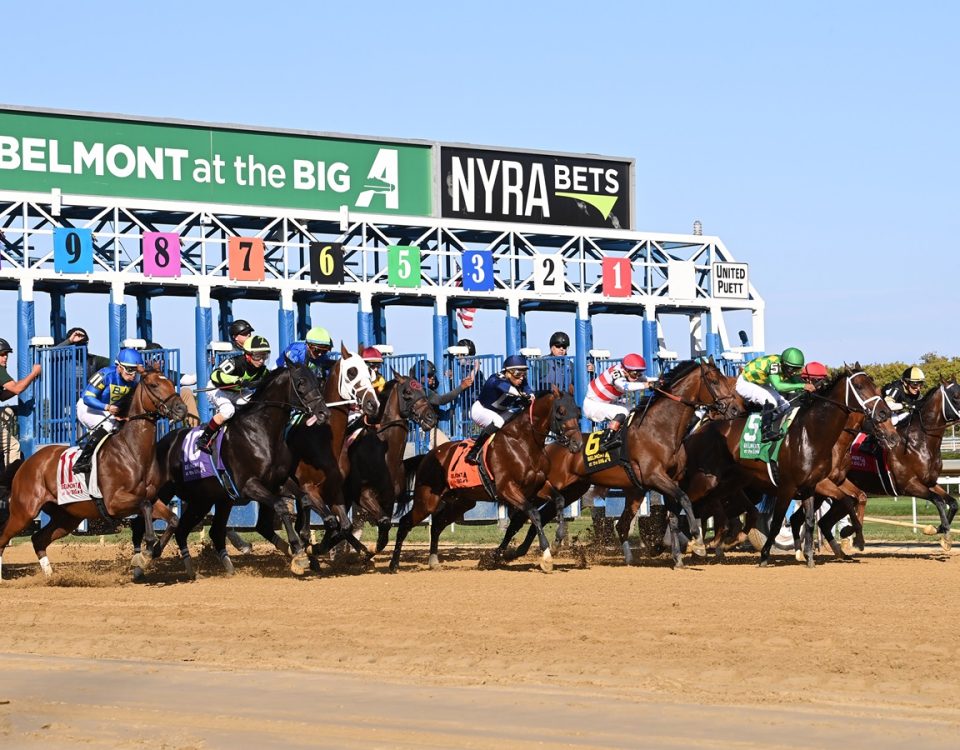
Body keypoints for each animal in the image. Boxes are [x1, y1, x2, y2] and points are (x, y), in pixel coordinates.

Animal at [0, 370, 187, 580]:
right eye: (154, 385)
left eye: (170, 382)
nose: (182, 409)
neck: (132, 451)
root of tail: (26, 463)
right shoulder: (114, 502)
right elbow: (145, 506)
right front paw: (147, 547)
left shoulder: (151, 497)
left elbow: (173, 519)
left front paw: (151, 553)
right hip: (24, 512)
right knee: (4, 538)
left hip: (66, 517)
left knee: (38, 539)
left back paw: (51, 577)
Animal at [153, 362, 326, 580]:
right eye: (300, 382)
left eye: (317, 380)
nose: (323, 413)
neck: (261, 431)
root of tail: (162, 442)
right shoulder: (248, 485)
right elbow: (280, 506)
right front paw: (298, 549)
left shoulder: (277, 481)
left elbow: (304, 498)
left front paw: (303, 538)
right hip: (165, 492)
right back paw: (142, 560)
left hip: (204, 500)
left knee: (191, 530)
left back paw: (202, 569)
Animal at [386, 388, 580, 576]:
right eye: (561, 411)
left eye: (578, 412)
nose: (577, 444)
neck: (523, 443)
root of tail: (427, 456)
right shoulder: (507, 489)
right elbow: (534, 513)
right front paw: (546, 557)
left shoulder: (537, 486)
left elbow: (559, 499)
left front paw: (558, 539)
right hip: (427, 501)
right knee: (405, 522)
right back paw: (394, 564)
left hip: (461, 503)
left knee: (437, 525)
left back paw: (433, 561)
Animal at [492, 360, 740, 568]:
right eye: (715, 381)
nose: (735, 409)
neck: (661, 429)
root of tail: (546, 447)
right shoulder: (655, 477)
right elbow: (686, 500)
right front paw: (698, 544)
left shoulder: (670, 480)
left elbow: (673, 514)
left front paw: (678, 558)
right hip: (542, 485)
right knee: (524, 516)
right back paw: (508, 553)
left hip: (574, 489)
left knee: (543, 516)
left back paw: (526, 551)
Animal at [684, 366, 900, 568]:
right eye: (860, 386)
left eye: (876, 387)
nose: (893, 435)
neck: (812, 434)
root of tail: (702, 429)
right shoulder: (794, 486)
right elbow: (782, 520)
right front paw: (766, 555)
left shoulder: (817, 484)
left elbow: (829, 511)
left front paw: (816, 554)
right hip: (709, 480)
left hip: (731, 484)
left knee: (715, 509)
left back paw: (713, 544)